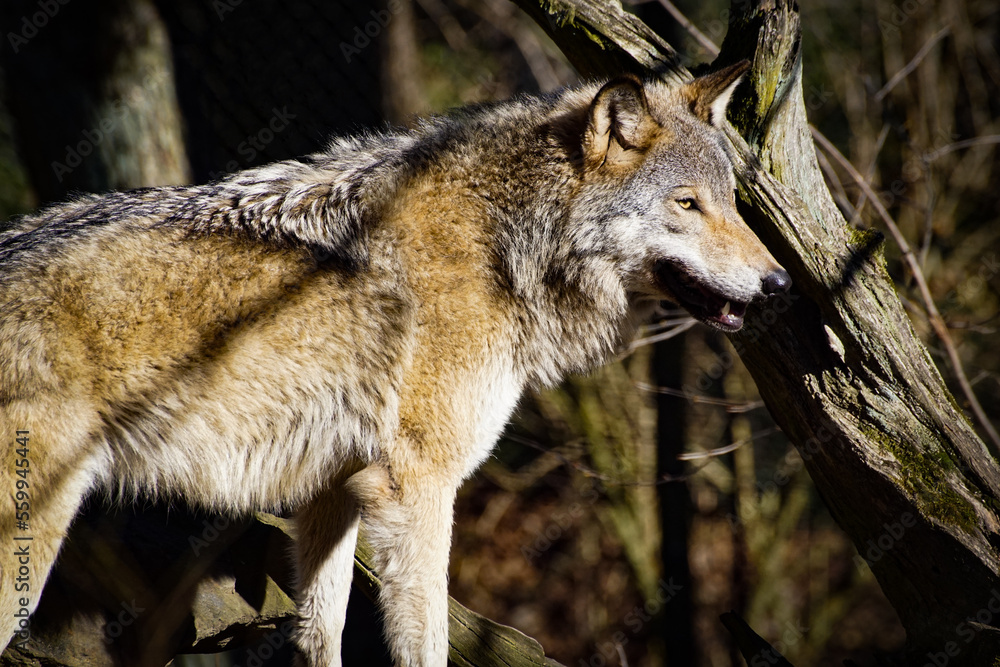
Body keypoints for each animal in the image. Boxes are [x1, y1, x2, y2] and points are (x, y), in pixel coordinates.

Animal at [0, 60, 788, 665]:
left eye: (731, 203)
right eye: (686, 204)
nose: (780, 283)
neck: (506, 244)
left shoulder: (334, 489)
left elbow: (322, 635)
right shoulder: (419, 484)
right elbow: (424, 642)